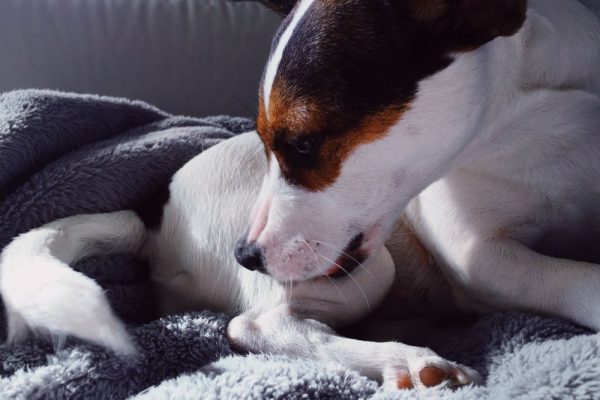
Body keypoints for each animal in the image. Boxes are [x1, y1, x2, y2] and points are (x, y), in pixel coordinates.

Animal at [1, 0, 600, 390]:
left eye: (305, 142)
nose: (245, 254)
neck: (536, 117)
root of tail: (157, 221)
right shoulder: (483, 260)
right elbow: (573, 278)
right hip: (361, 264)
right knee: (259, 324)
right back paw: (407, 360)